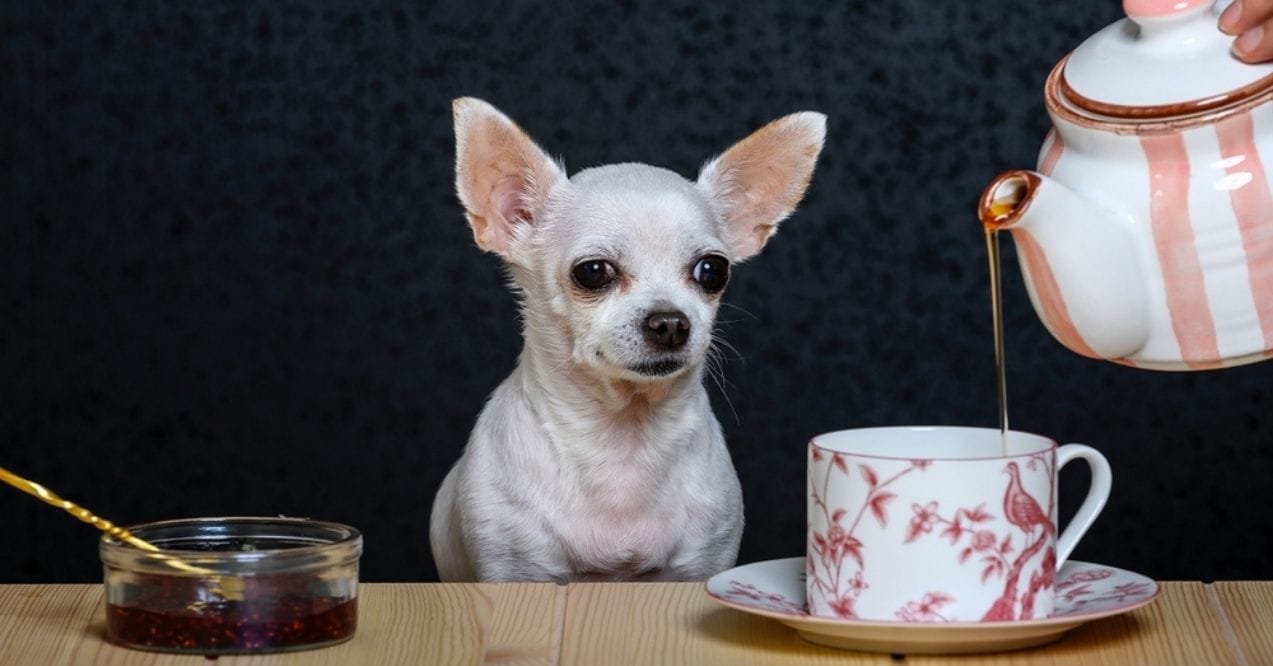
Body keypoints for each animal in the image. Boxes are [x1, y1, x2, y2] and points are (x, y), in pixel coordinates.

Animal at [427, 99, 824, 583]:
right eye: (593, 272)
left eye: (713, 270)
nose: (670, 322)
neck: (623, 442)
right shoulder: (513, 570)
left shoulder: (699, 565)